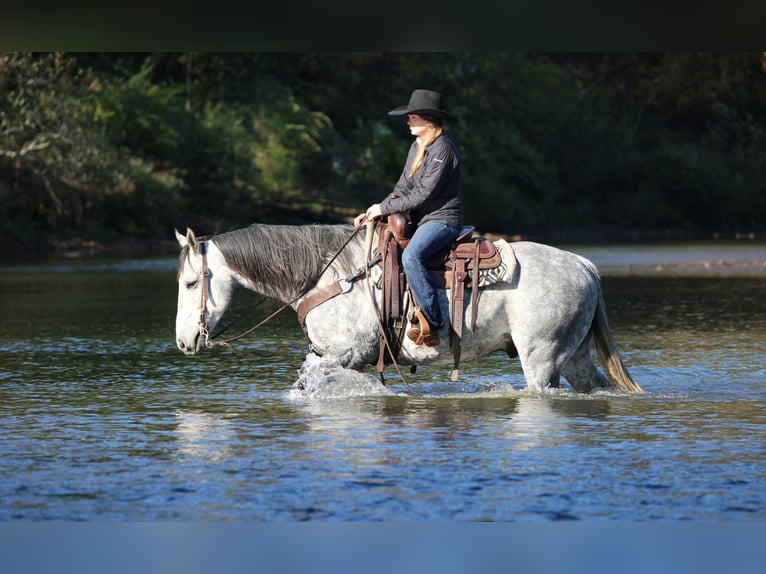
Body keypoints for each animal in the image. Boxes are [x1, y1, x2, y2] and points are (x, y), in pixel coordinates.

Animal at [174, 223, 642, 394]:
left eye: (191, 282)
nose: (183, 342)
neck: (330, 276)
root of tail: (583, 264)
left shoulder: (347, 355)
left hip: (541, 359)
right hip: (573, 356)